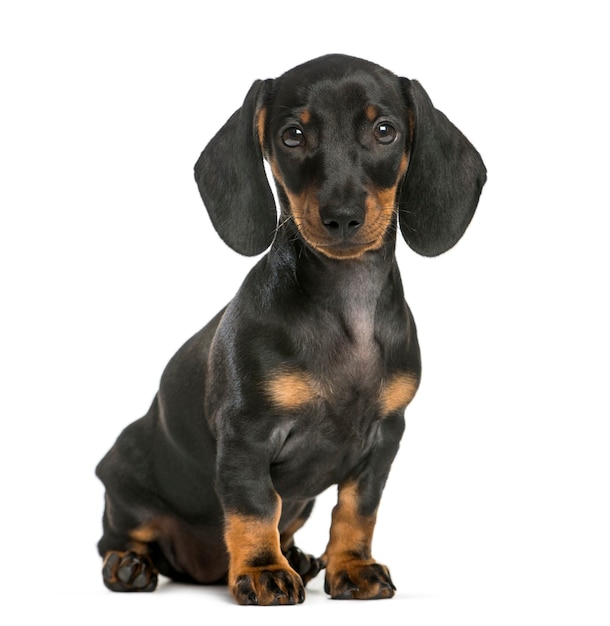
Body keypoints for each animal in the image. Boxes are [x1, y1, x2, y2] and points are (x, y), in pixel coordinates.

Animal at [96, 54, 484, 604]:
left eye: (385, 131)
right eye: (292, 135)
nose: (341, 217)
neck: (346, 309)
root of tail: (200, 569)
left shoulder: (385, 437)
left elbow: (358, 510)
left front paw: (353, 567)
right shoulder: (247, 433)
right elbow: (256, 506)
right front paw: (262, 571)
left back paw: (300, 556)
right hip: (123, 477)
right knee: (117, 536)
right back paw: (129, 566)